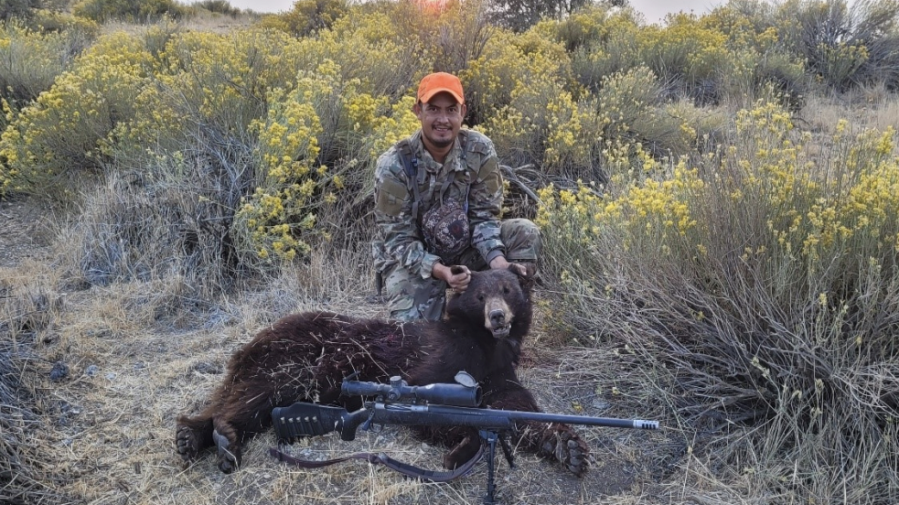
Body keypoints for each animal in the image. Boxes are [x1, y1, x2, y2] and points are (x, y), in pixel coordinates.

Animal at [178, 266, 592, 474]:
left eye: (507, 290)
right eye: (480, 295)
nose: (498, 317)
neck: (484, 343)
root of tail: (258, 335)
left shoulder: (497, 371)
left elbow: (518, 405)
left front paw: (569, 445)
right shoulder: (439, 361)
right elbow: (434, 401)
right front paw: (462, 446)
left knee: (235, 396)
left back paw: (193, 436)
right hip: (291, 360)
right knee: (253, 396)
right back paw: (222, 438)